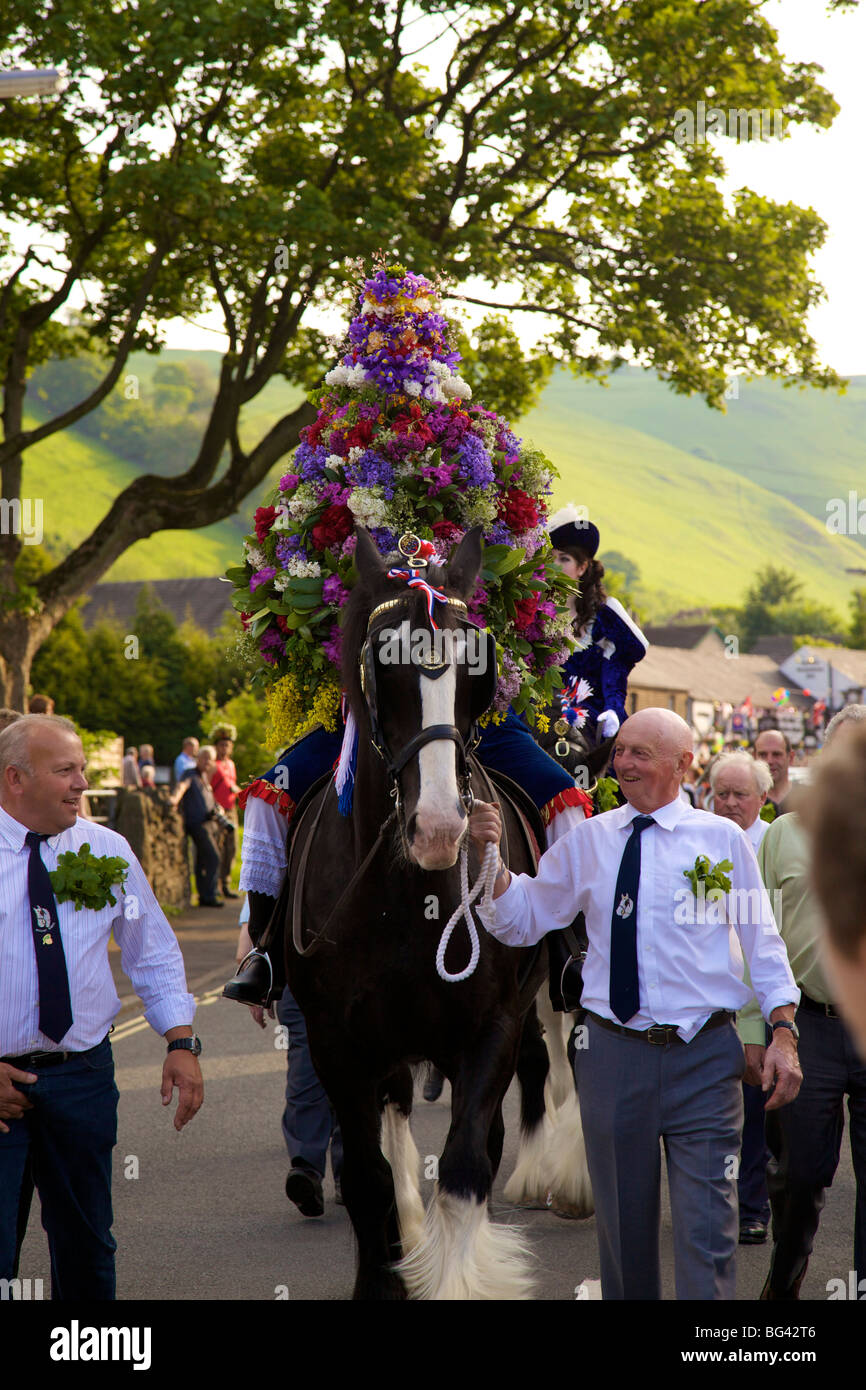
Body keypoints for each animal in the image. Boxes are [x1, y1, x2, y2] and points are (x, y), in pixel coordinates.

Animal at [284, 525, 547, 1295]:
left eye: (478, 669)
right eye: (382, 665)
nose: (438, 829)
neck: (411, 898)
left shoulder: (491, 1028)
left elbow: (464, 1168)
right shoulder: (337, 1043)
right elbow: (367, 1179)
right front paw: (385, 1274)